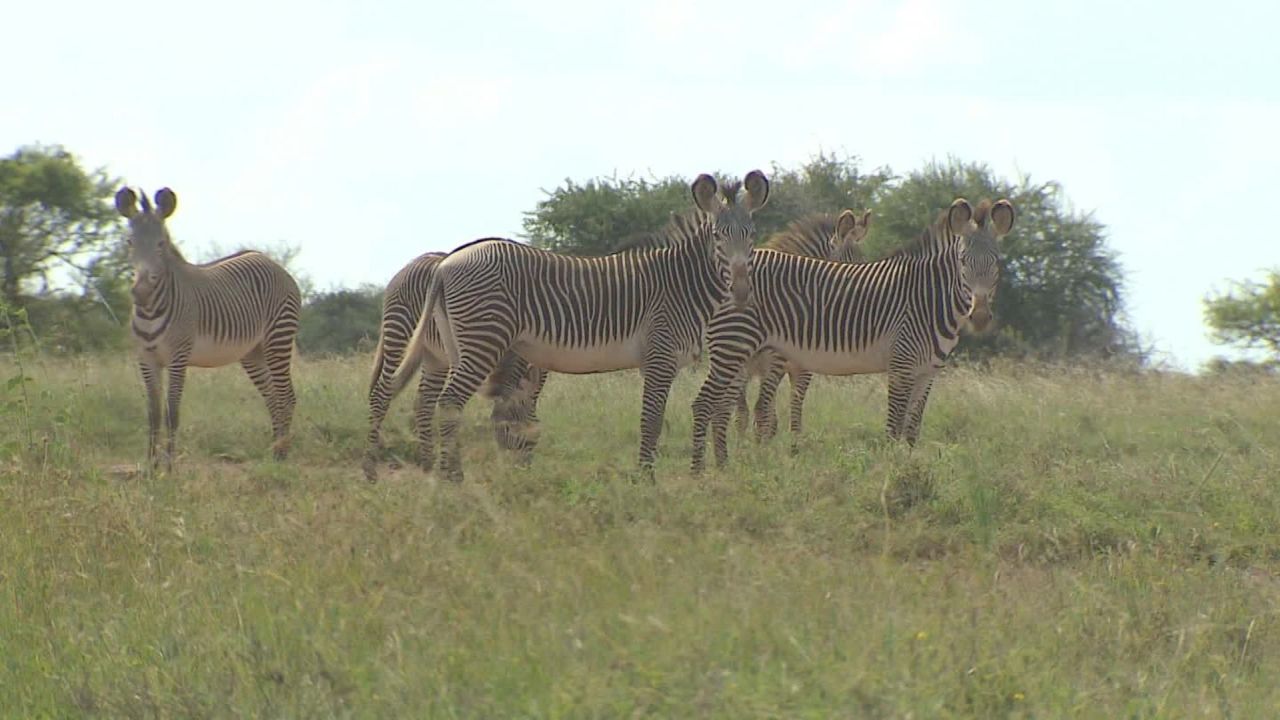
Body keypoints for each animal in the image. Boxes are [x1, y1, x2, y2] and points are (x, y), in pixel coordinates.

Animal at [113, 185, 302, 466]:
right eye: (130, 243)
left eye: (161, 244)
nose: (142, 293)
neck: (150, 311)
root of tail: (269, 260)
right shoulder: (146, 359)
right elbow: (153, 413)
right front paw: (150, 465)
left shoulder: (178, 357)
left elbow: (172, 412)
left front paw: (168, 466)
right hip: (252, 352)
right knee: (272, 396)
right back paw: (274, 451)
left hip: (278, 337)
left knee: (286, 395)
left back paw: (282, 456)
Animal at [360, 249, 545, 479]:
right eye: (513, 425)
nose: (522, 471)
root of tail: (411, 264)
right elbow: (453, 407)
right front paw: (452, 469)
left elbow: (452, 409)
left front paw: (451, 467)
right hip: (399, 333)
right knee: (382, 393)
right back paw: (370, 469)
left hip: (434, 355)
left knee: (424, 401)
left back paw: (428, 464)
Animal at [389, 170, 768, 479]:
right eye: (718, 236)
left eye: (751, 235)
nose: (742, 293)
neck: (682, 283)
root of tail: (446, 263)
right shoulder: (660, 355)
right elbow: (652, 420)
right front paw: (646, 480)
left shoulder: (657, 361)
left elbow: (652, 420)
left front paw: (646, 475)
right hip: (482, 341)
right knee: (449, 401)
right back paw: (453, 479)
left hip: (458, 345)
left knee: (440, 404)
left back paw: (447, 474)